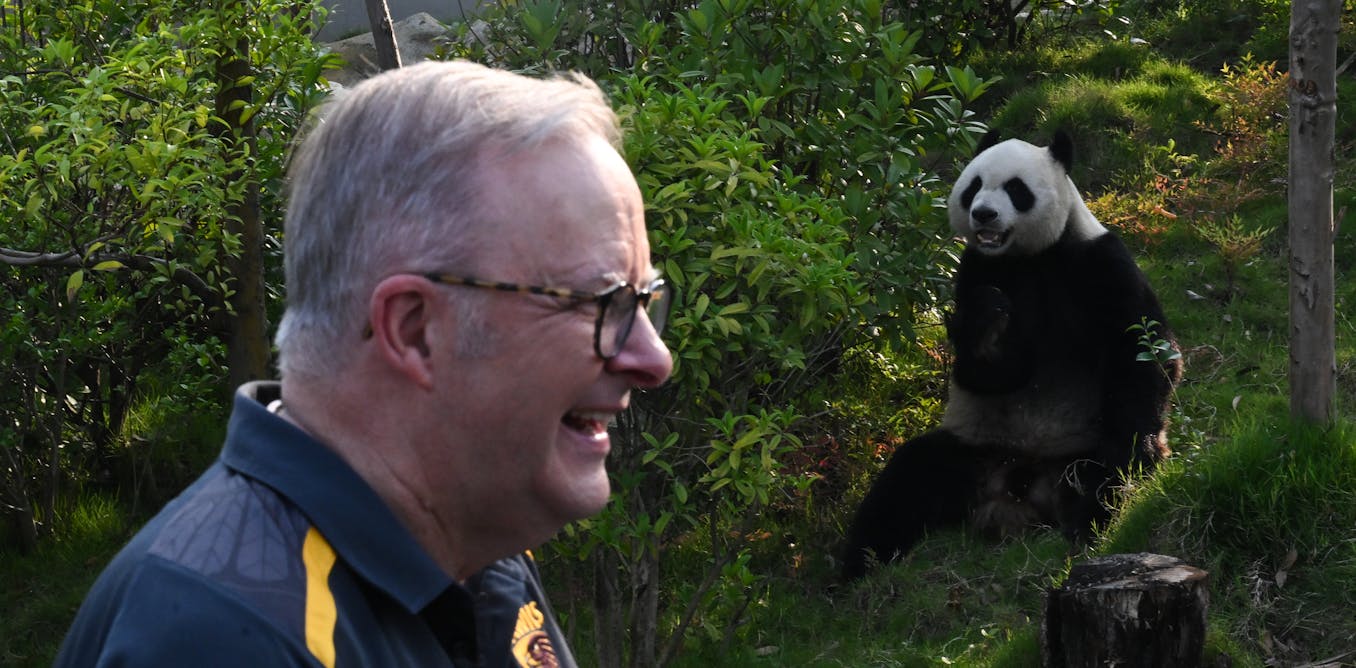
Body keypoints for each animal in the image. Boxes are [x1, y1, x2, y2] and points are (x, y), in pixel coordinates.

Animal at [841, 130, 1183, 581]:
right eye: (973, 187)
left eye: (1016, 189)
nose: (984, 214)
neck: (1027, 257)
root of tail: (1016, 501)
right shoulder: (975, 272)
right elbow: (989, 370)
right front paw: (989, 326)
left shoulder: (1099, 263)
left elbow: (1144, 352)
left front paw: (1139, 447)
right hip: (970, 450)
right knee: (907, 481)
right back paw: (858, 566)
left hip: (1072, 455)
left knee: (1104, 481)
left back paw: (1088, 523)